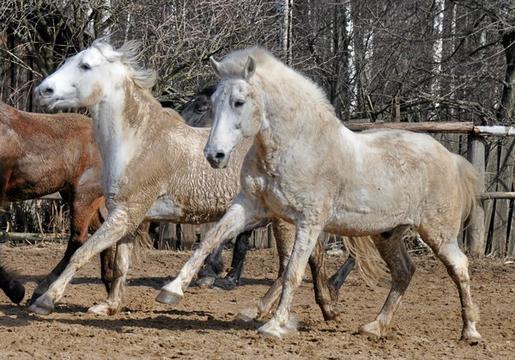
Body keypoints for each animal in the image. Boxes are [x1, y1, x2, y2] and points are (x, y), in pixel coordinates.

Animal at [161, 47, 484, 344]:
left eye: (239, 102)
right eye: (214, 104)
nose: (214, 155)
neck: (297, 146)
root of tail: (450, 157)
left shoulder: (309, 222)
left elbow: (293, 270)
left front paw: (274, 326)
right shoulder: (251, 206)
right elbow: (210, 240)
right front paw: (171, 291)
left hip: (438, 233)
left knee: (459, 267)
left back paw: (470, 332)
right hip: (387, 234)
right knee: (404, 271)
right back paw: (374, 327)